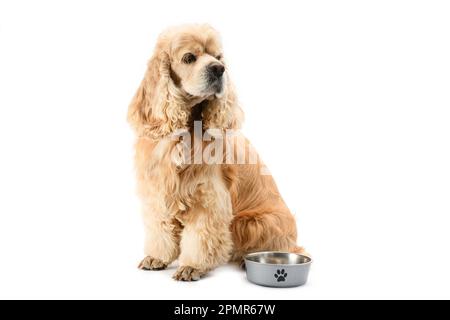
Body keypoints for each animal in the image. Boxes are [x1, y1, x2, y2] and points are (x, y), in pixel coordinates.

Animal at [127, 24, 306, 280]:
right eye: (189, 57)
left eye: (218, 57)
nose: (219, 69)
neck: (186, 130)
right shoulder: (157, 191)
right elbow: (159, 228)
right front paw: (157, 257)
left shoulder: (208, 196)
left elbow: (201, 235)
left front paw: (192, 266)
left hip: (253, 221)